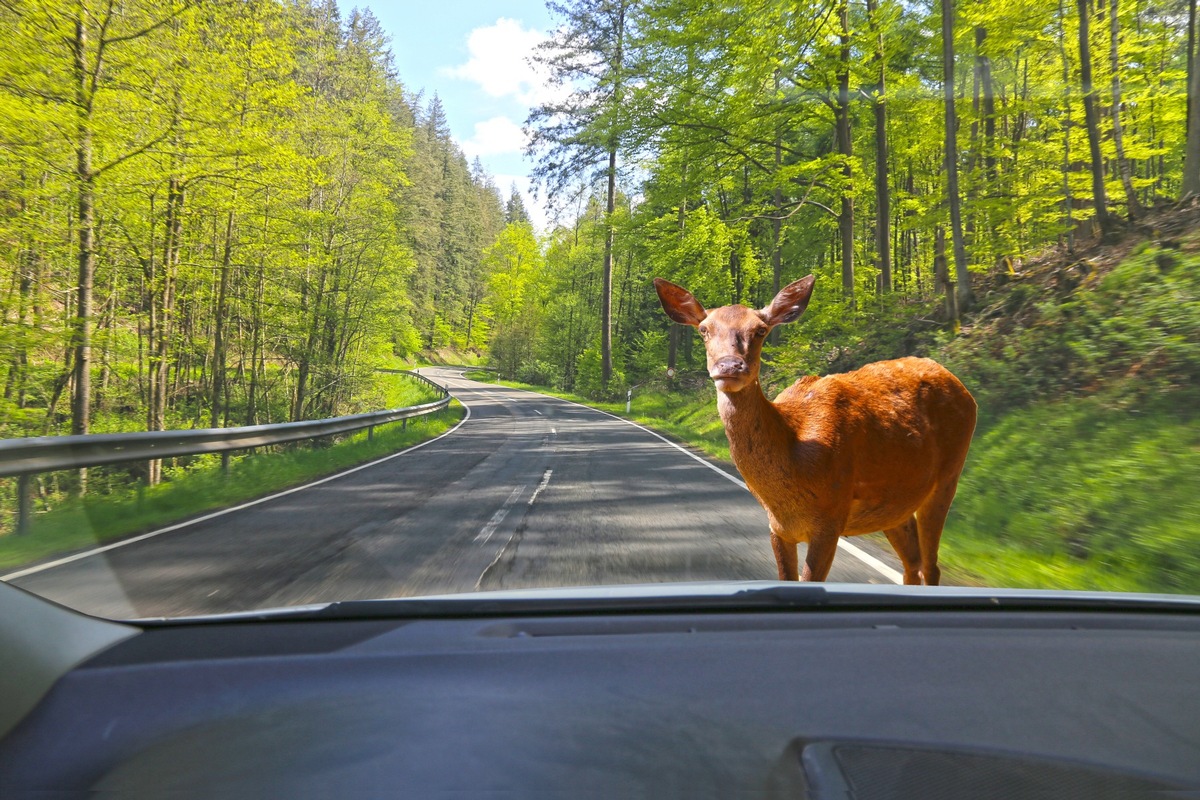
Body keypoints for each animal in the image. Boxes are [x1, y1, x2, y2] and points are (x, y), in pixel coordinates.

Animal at [657, 278, 974, 585]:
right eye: (704, 329)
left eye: (760, 330)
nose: (729, 366)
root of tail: (963, 388)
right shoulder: (778, 528)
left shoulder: (830, 519)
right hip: (894, 505)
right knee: (913, 564)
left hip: (948, 476)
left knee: (931, 567)